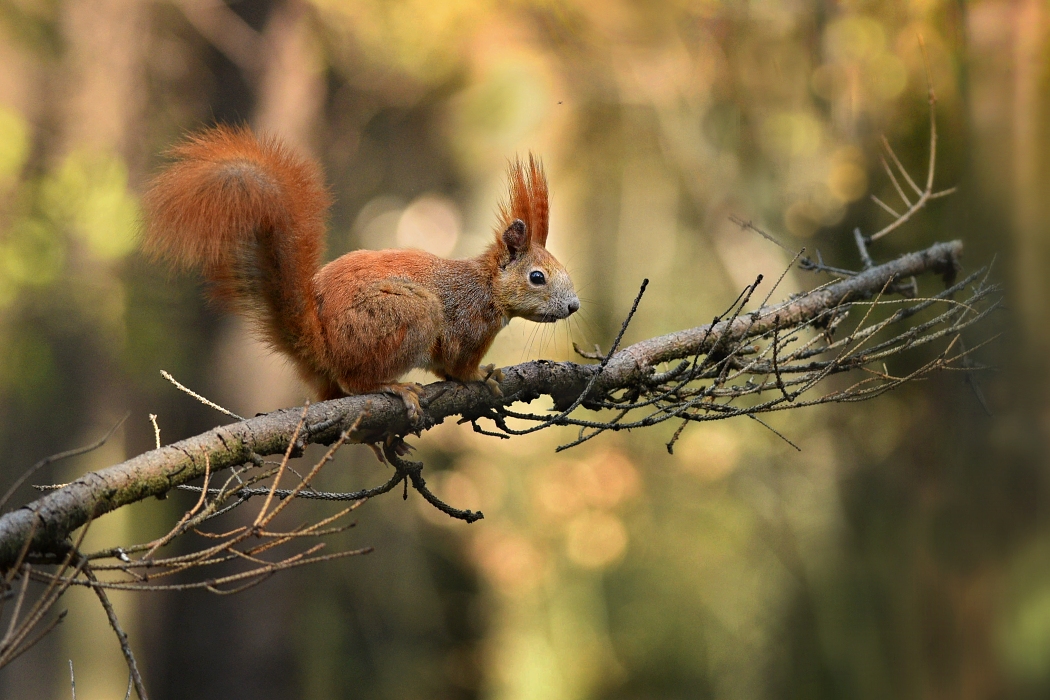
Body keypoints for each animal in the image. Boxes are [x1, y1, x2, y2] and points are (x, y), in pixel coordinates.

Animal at [142, 126, 579, 421]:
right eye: (537, 277)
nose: (574, 306)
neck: (486, 287)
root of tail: (323, 346)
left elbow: (444, 368)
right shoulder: (465, 324)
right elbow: (456, 366)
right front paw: (481, 374)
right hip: (408, 315)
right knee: (357, 383)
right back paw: (394, 386)